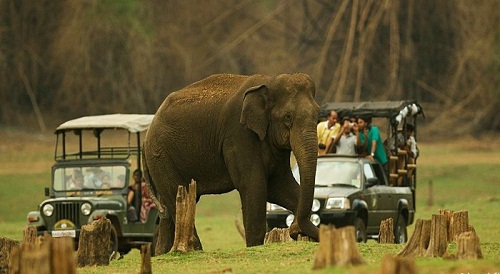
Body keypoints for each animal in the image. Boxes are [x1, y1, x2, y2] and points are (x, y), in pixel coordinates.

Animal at [143, 73, 318, 253]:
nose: (294, 230)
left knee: (168, 212)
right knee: (175, 198)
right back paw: (194, 249)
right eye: (287, 117)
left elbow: (280, 187)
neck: (269, 81)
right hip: (161, 156)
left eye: (318, 114)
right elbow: (253, 186)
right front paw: (254, 246)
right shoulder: (238, 135)